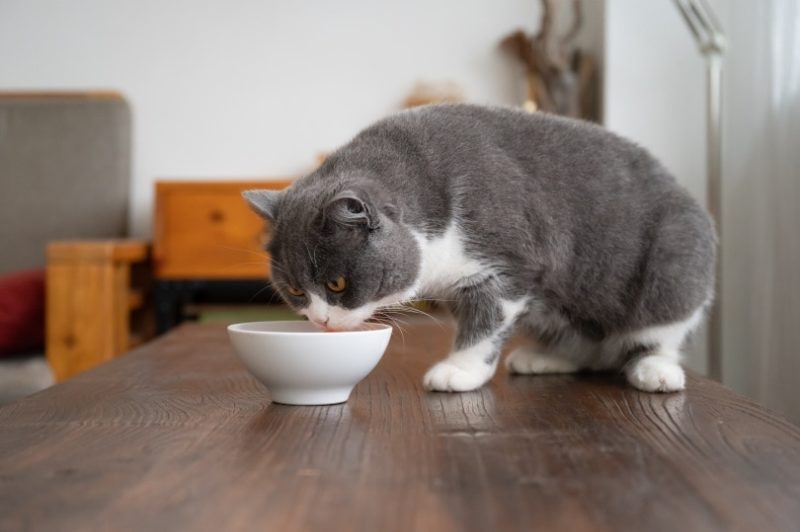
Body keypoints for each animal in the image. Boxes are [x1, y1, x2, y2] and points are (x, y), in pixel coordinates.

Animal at [242, 105, 712, 394]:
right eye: (296, 291)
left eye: (337, 284)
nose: (321, 321)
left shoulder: (506, 264)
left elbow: (484, 324)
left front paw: (458, 371)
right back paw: (546, 358)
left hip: (675, 262)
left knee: (660, 330)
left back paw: (656, 371)